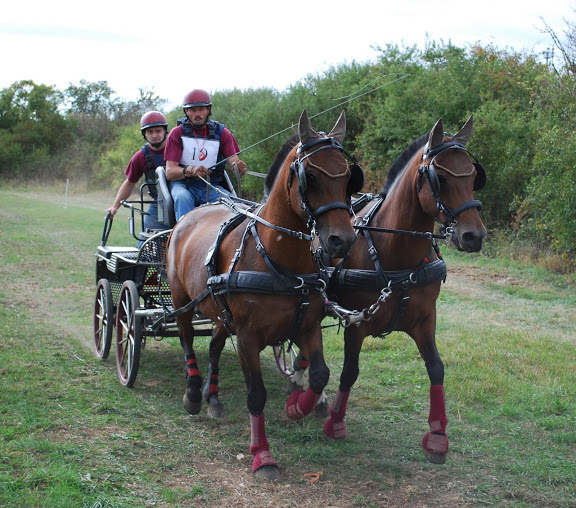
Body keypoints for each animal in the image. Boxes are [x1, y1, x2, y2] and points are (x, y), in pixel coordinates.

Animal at [166, 109, 364, 478]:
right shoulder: (248, 337)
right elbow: (256, 394)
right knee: (187, 340)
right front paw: (263, 454)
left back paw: (213, 397)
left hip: (218, 312)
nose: (341, 240)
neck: (277, 258)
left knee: (214, 346)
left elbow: (319, 374)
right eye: (310, 176)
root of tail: (191, 215)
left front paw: (297, 406)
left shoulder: (307, 326)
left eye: (348, 178)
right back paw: (194, 393)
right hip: (182, 302)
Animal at [292, 114, 486, 464]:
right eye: (441, 178)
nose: (473, 236)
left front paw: (438, 436)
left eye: (475, 176)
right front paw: (336, 423)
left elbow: (436, 369)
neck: (393, 249)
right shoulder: (357, 323)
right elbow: (349, 372)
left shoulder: (425, 320)